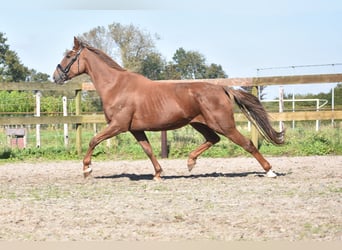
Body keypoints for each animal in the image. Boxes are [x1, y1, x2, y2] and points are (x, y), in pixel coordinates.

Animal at [52, 37, 284, 180]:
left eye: (68, 55)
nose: (55, 77)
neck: (116, 86)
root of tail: (222, 89)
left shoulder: (118, 125)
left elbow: (93, 140)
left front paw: (87, 169)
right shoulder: (135, 129)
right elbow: (148, 150)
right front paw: (158, 173)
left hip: (224, 125)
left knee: (247, 144)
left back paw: (270, 171)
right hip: (200, 124)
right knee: (213, 139)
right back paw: (190, 162)